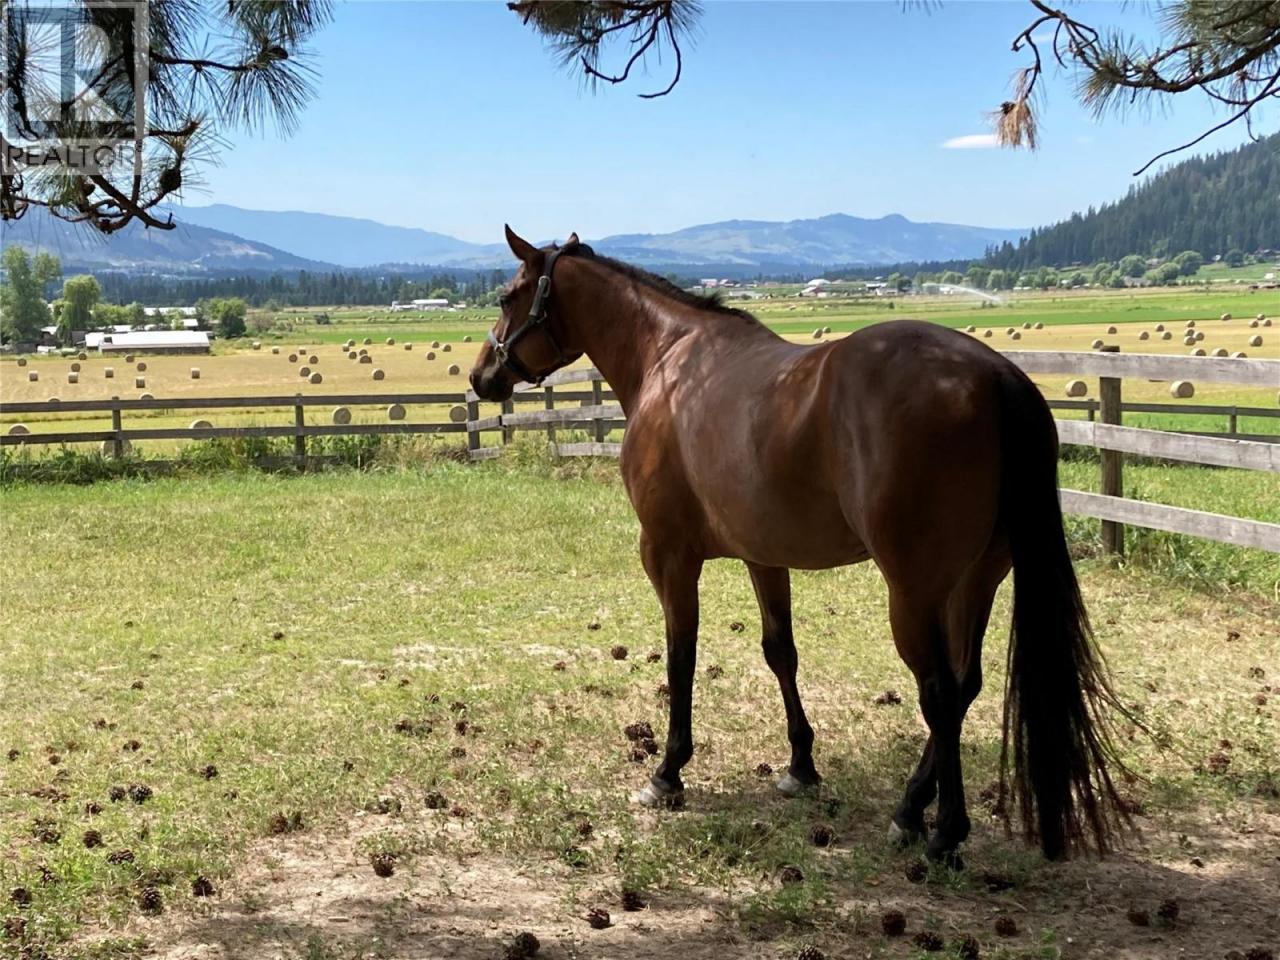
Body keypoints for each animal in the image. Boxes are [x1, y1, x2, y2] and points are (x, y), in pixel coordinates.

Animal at [470, 226, 1129, 864]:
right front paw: (800, 766)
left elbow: (681, 656)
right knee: (964, 687)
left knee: (939, 692)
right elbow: (779, 652)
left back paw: (943, 832)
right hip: (977, 582)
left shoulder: (667, 553)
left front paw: (668, 772)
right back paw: (910, 807)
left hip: (915, 593)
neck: (670, 360)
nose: (481, 376)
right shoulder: (764, 556)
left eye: (506, 297)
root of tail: (994, 376)